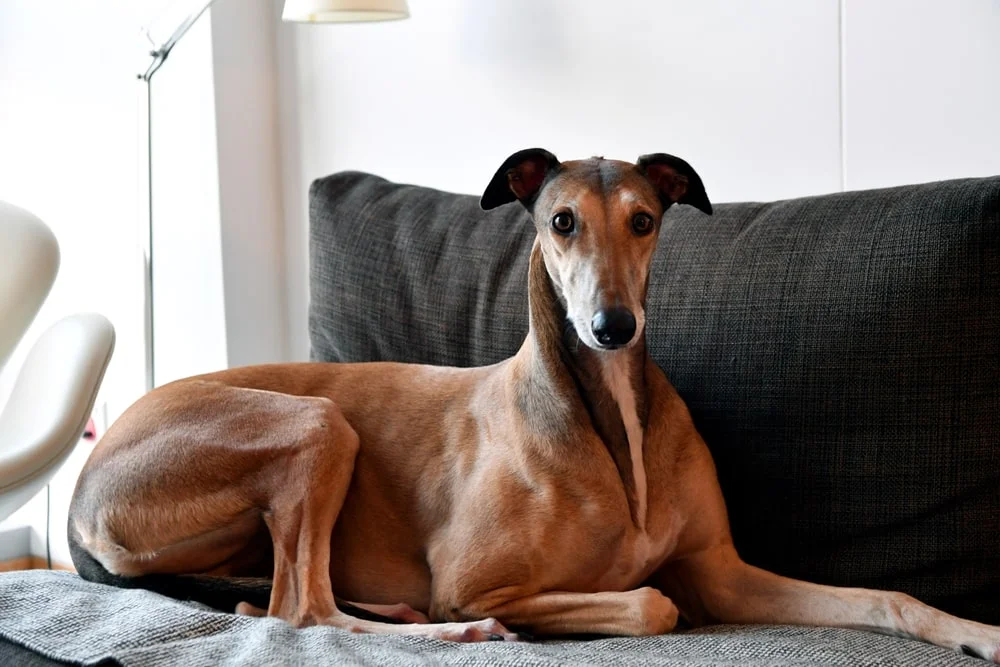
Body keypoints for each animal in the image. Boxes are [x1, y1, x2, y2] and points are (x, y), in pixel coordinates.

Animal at [66, 150, 1000, 656]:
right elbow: (654, 600)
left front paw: (979, 631)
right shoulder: (477, 577)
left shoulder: (722, 571)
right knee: (301, 606)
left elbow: (883, 597)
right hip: (316, 422)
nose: (612, 326)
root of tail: (81, 491)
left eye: (644, 218)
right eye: (560, 221)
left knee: (273, 599)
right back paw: (453, 633)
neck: (609, 419)